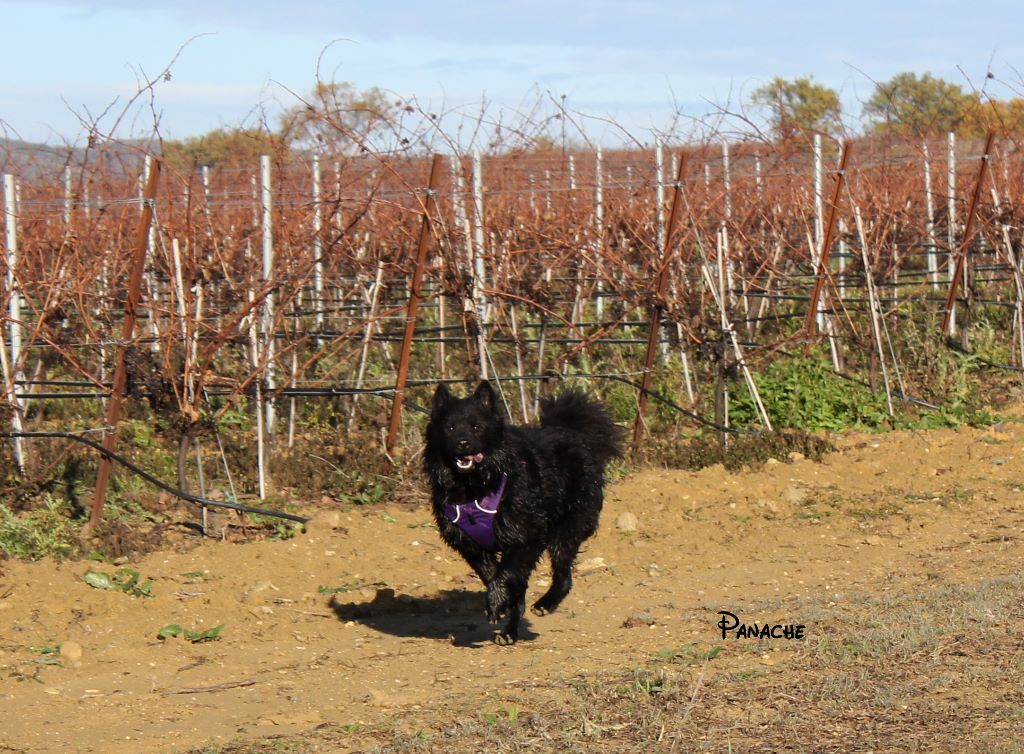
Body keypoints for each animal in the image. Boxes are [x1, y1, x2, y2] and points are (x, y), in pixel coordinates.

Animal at [423, 379, 622, 643]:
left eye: (476, 427)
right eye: (450, 427)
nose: (463, 443)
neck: (474, 487)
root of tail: (573, 433)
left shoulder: (527, 536)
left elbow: (504, 575)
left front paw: (497, 602)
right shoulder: (471, 545)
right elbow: (496, 576)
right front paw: (503, 604)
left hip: (566, 529)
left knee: (564, 576)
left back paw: (545, 604)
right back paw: (511, 629)